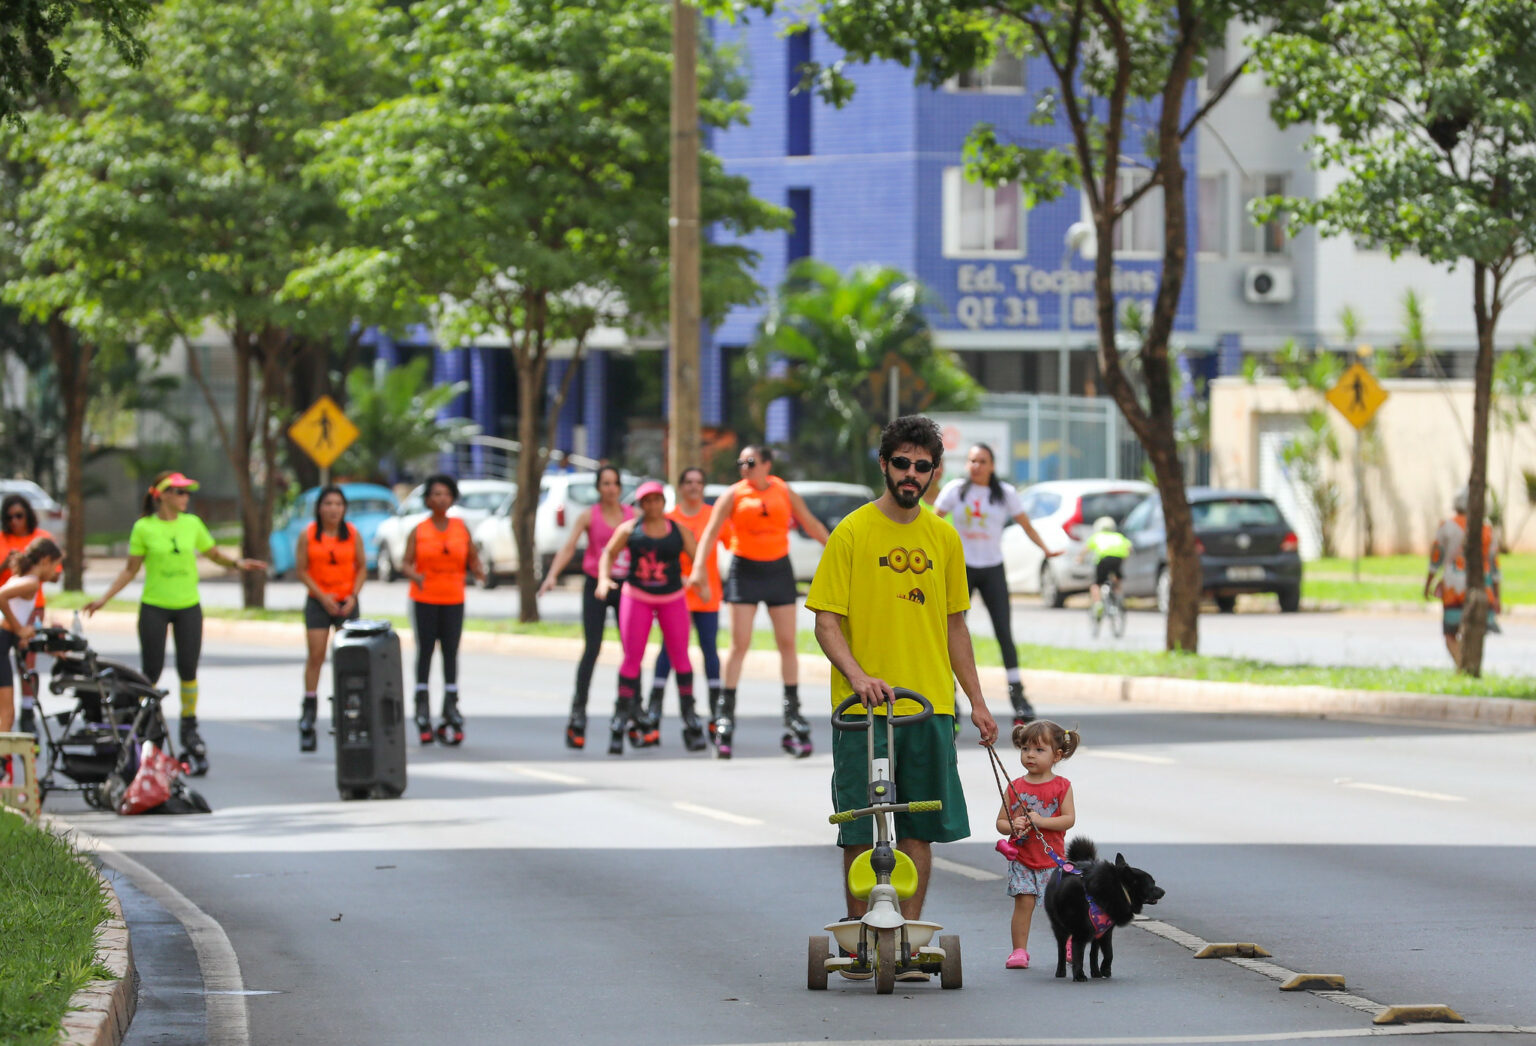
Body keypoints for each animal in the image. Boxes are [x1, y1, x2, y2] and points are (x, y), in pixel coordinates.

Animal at [1044, 829, 1161, 976]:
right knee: (1062, 949)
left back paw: (1095, 972)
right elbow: (1078, 955)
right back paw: (1061, 971)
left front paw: (1103, 969)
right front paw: (1079, 975)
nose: (1164, 891)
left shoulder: (1104, 932)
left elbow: (1108, 953)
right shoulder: (1081, 933)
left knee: (1092, 952)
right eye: (1152, 884)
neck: (1118, 888)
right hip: (1059, 927)